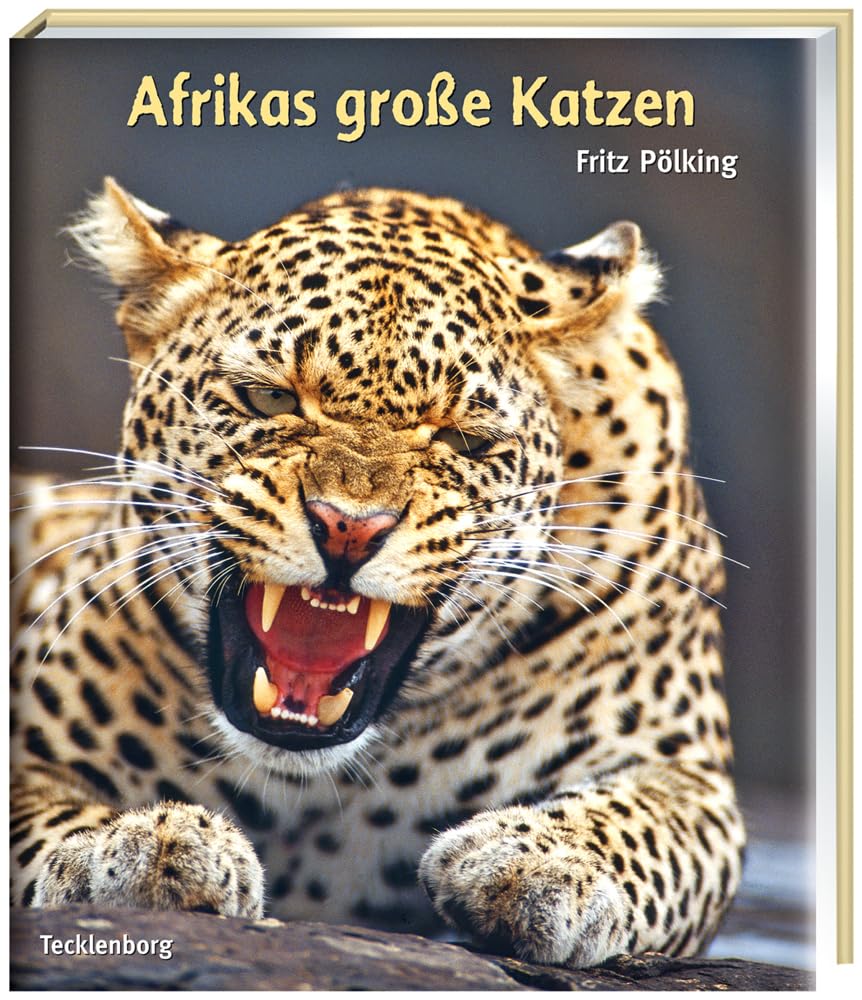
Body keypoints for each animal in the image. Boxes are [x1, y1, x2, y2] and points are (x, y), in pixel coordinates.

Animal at [11, 178, 746, 968]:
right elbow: (43, 815)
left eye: (464, 439)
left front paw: (543, 864)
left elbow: (642, 824)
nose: (348, 526)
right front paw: (138, 845)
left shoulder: (687, 771)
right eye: (269, 397)